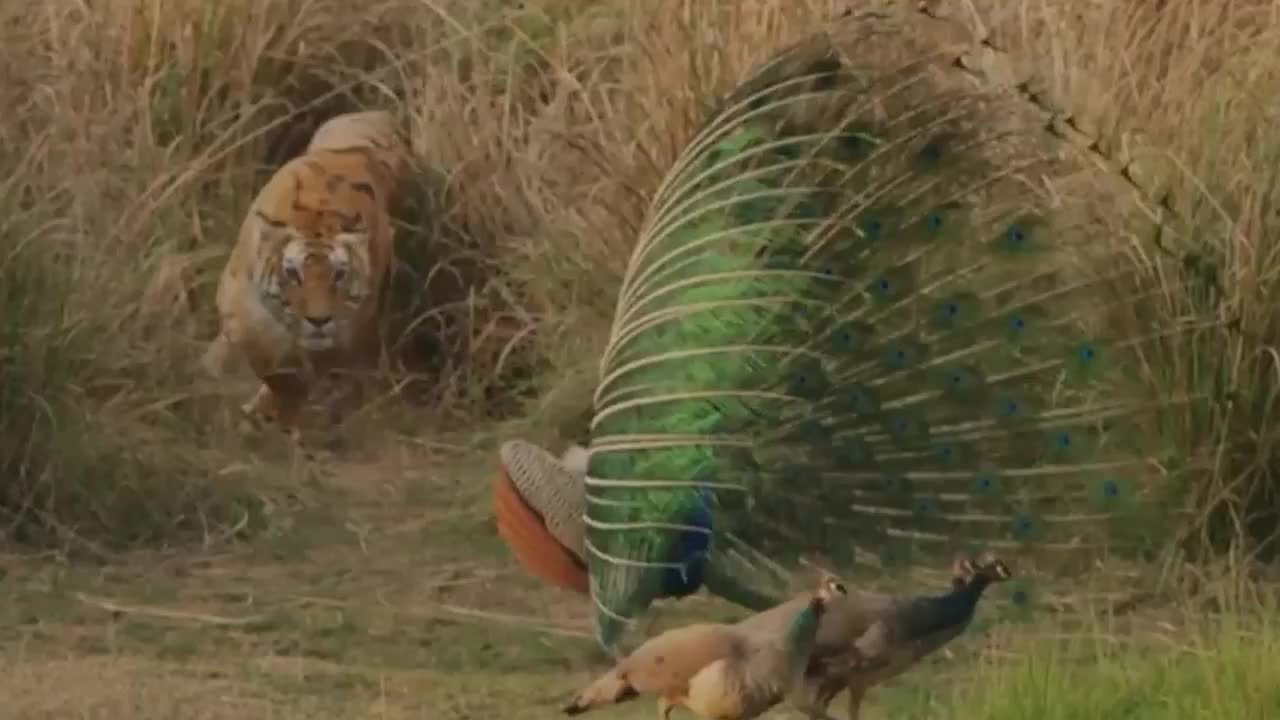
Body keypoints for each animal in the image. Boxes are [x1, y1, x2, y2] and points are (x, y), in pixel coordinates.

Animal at [202, 110, 407, 441]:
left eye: (339, 275)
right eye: (293, 274)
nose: (319, 320)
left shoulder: (342, 335)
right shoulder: (242, 312)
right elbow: (267, 361)